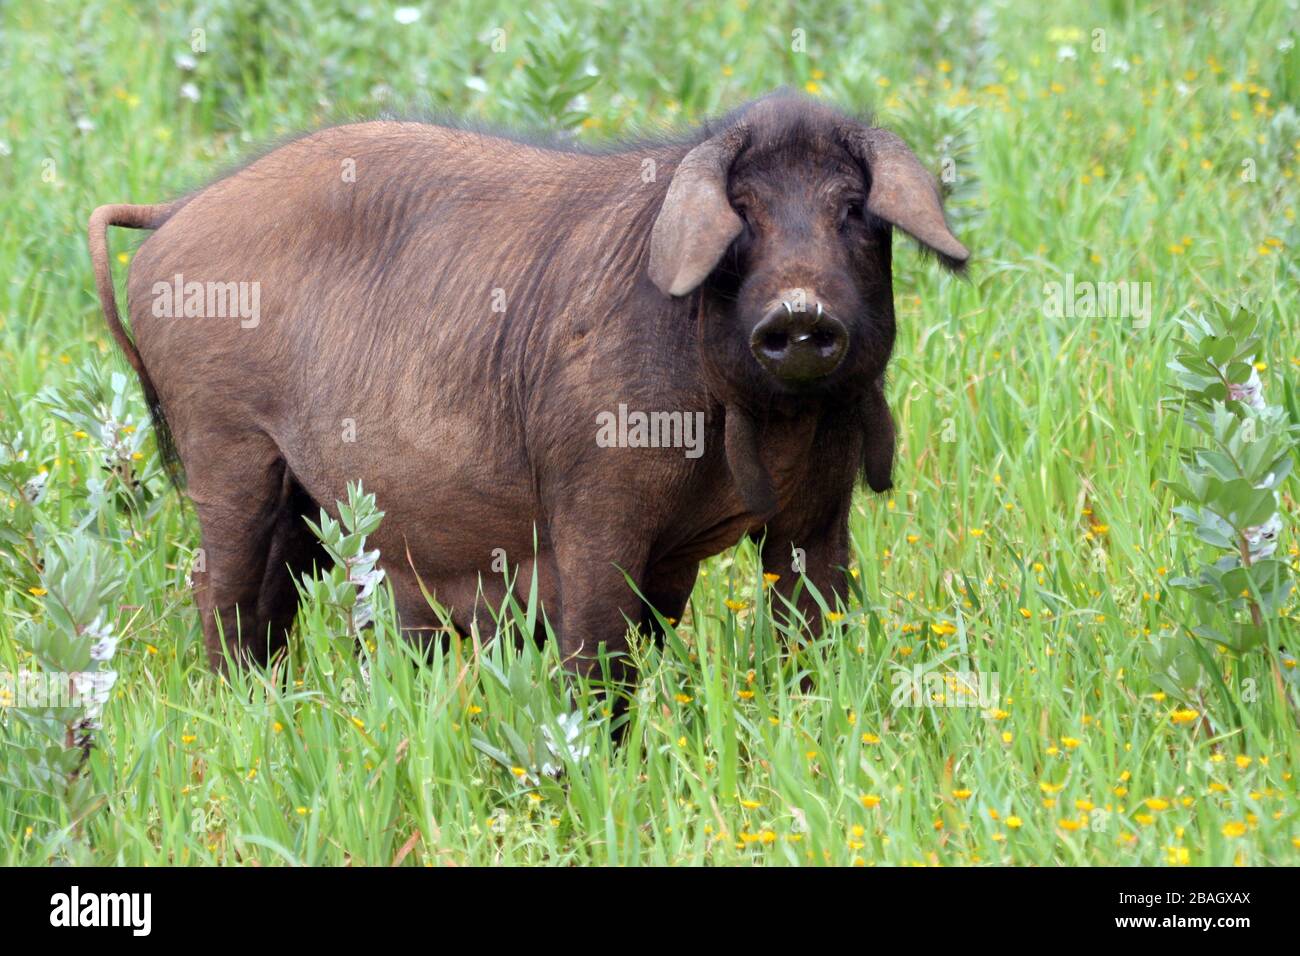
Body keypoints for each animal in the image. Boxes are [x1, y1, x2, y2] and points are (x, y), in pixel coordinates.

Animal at [89, 93, 967, 681]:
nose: (799, 313)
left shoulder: (820, 509)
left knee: (273, 591)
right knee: (220, 586)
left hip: (300, 492)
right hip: (225, 442)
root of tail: (175, 212)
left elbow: (810, 619)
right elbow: (597, 648)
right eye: (742, 211)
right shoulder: (594, 497)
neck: (773, 421)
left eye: (851, 208)